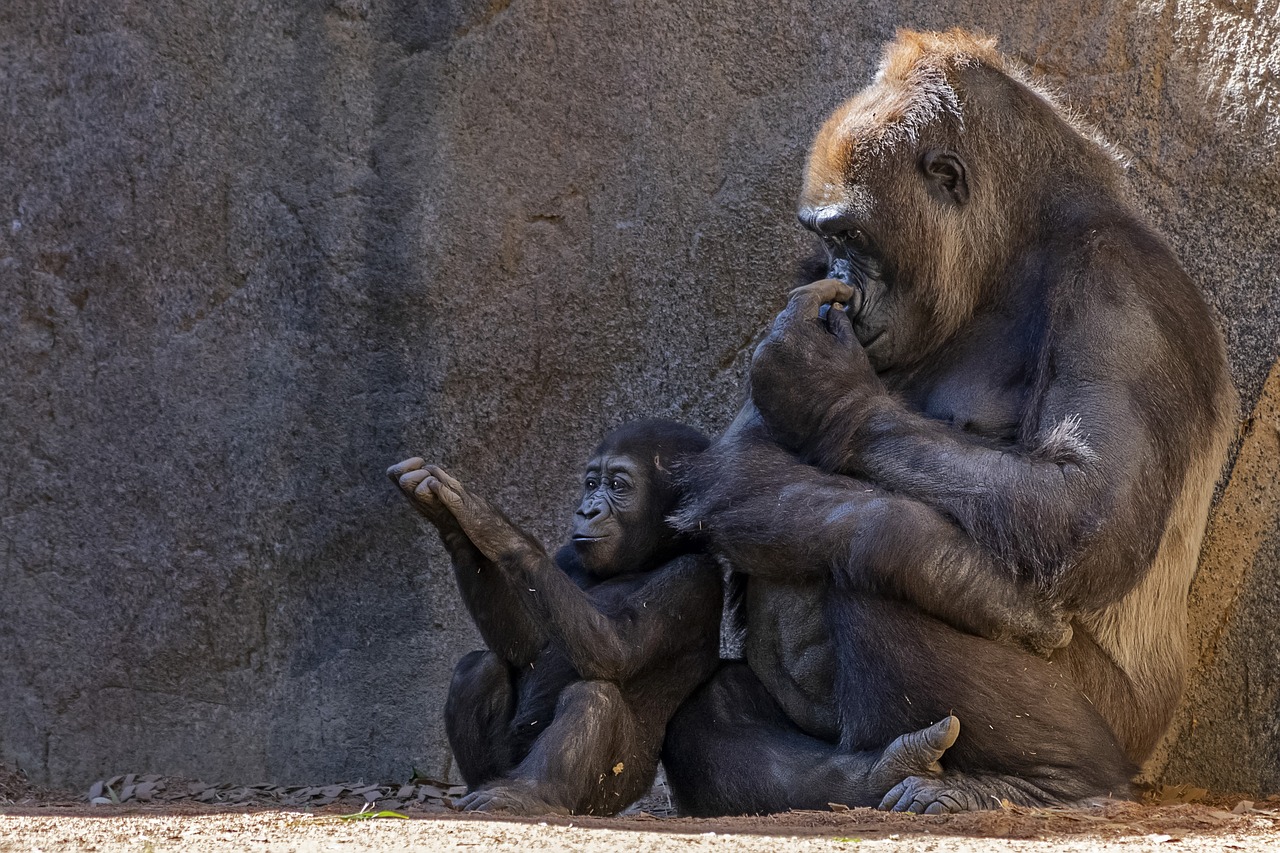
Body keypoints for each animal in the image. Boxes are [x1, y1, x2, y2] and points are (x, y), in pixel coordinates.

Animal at [665, 29, 1233, 814]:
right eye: (827, 241)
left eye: (853, 236)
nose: (844, 282)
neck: (1016, 247)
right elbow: (741, 460)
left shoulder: (1125, 292)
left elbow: (1084, 508)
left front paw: (825, 392)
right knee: (710, 712)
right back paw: (865, 773)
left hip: (1125, 732)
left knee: (879, 569)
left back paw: (1049, 777)